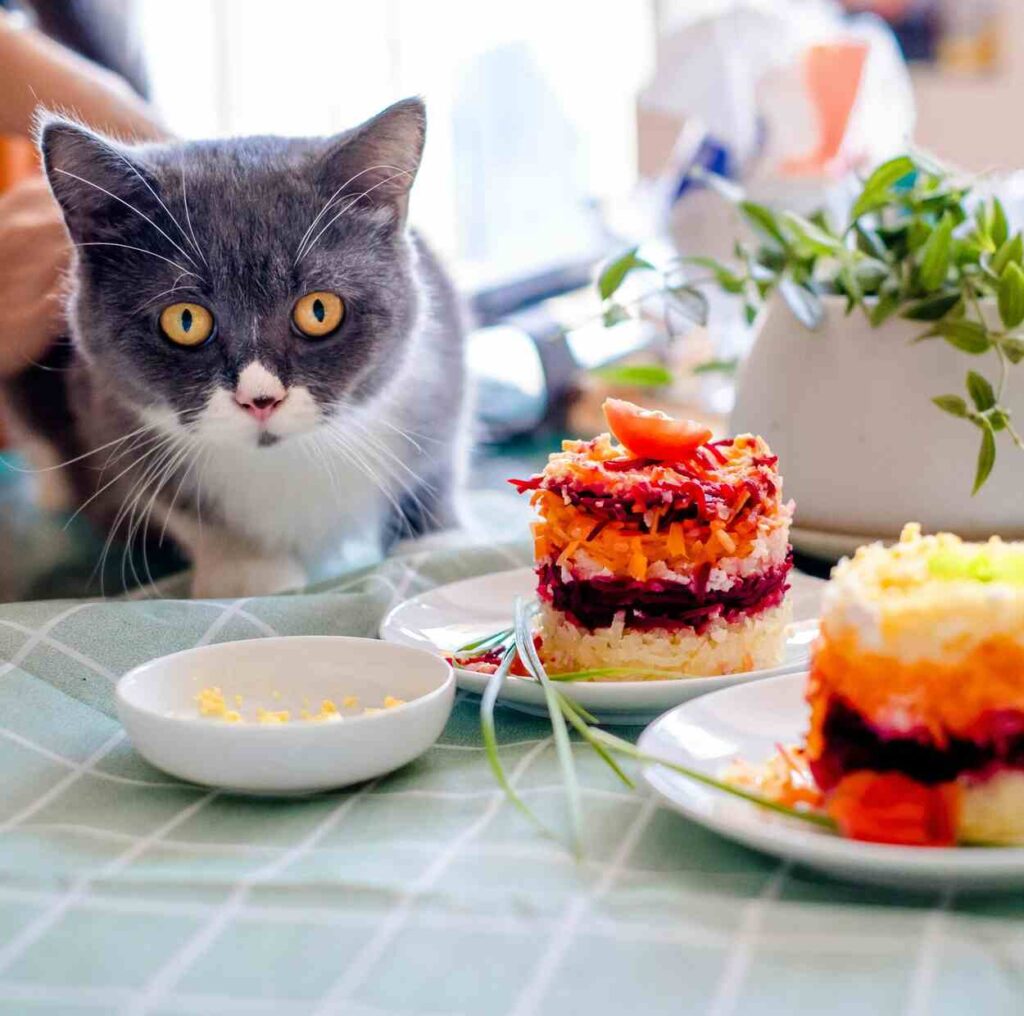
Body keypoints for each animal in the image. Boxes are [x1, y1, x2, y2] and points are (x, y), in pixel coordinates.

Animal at [3, 97, 468, 594]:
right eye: (185, 320)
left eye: (319, 310)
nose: (260, 399)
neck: (288, 460)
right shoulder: (104, 407)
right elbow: (177, 504)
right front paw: (249, 573)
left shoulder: (441, 361)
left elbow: (439, 458)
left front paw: (434, 541)